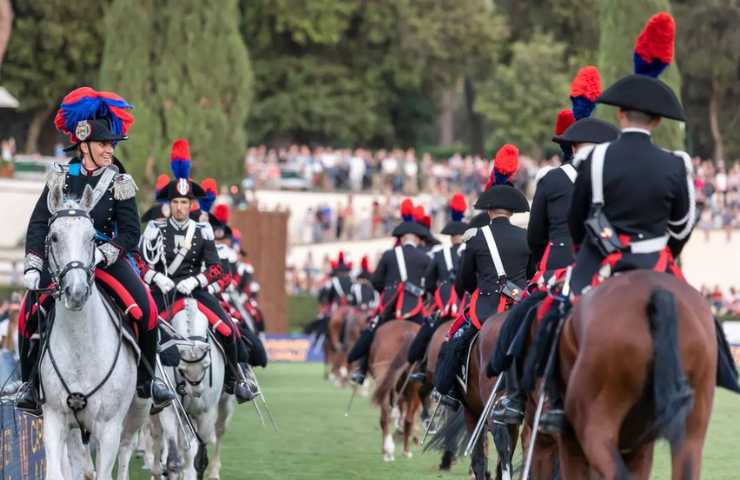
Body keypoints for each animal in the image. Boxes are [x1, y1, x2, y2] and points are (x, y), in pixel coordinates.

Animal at [41, 185, 151, 480]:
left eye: (92, 237)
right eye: (54, 237)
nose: (76, 292)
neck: (80, 346)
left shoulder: (110, 427)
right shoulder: (55, 418)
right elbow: (57, 472)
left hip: (136, 413)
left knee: (126, 452)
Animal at [153, 298, 237, 478]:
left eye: (206, 365)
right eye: (181, 368)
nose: (196, 392)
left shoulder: (206, 413)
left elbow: (200, 460)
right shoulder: (170, 409)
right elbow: (174, 460)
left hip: (224, 403)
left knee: (219, 430)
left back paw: (214, 472)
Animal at [368, 318, 422, 462]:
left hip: (383, 375)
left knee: (384, 414)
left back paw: (387, 450)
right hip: (413, 386)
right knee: (407, 418)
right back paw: (404, 450)